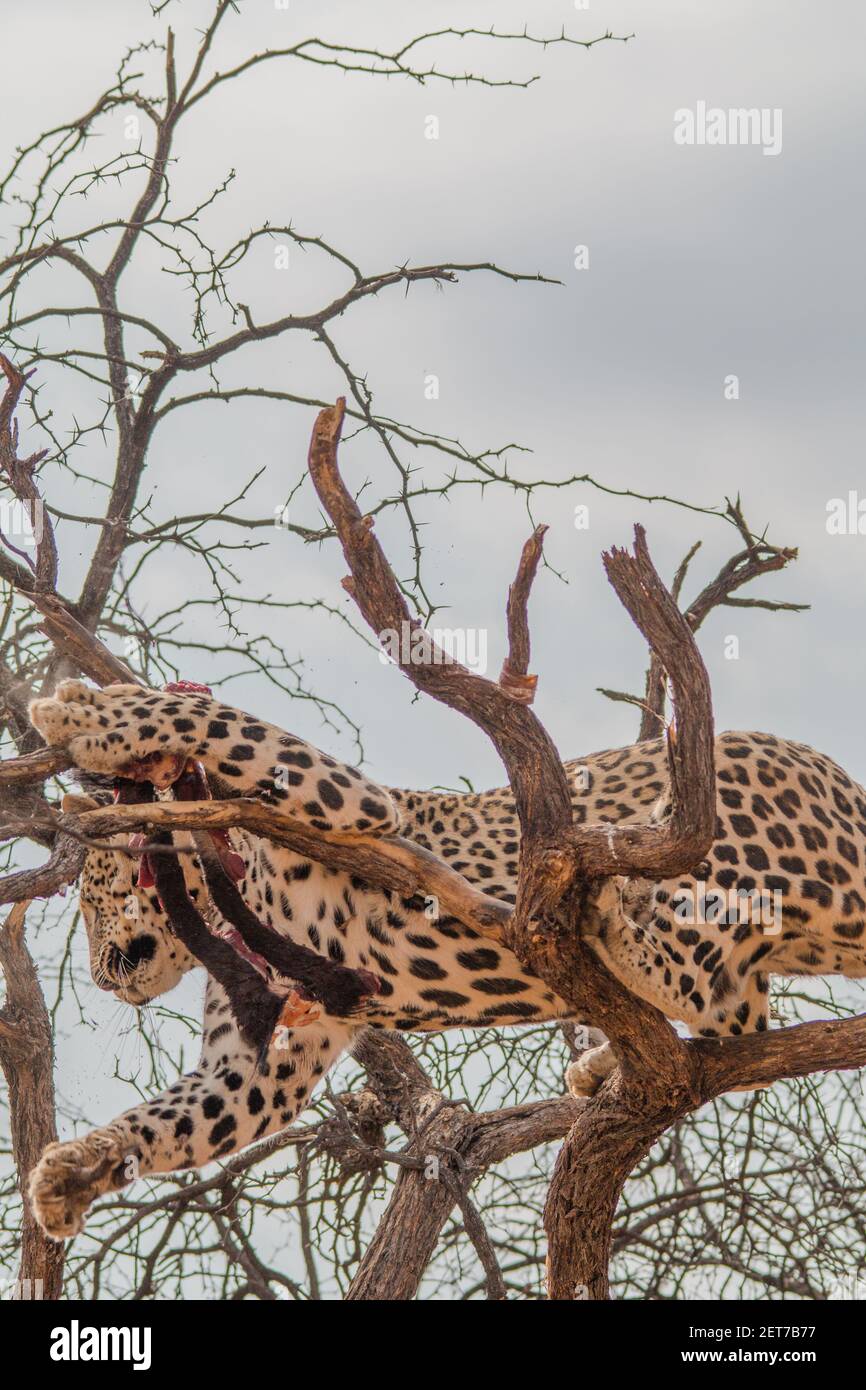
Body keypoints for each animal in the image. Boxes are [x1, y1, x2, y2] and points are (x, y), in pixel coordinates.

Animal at [22, 678, 866, 1234]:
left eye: (93, 889)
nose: (100, 975)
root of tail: (844, 785)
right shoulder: (263, 1058)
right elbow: (177, 1119)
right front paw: (75, 1171)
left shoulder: (353, 803)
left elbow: (219, 717)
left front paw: (83, 707)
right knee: (737, 1016)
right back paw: (606, 1059)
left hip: (732, 818)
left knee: (698, 961)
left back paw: (605, 916)